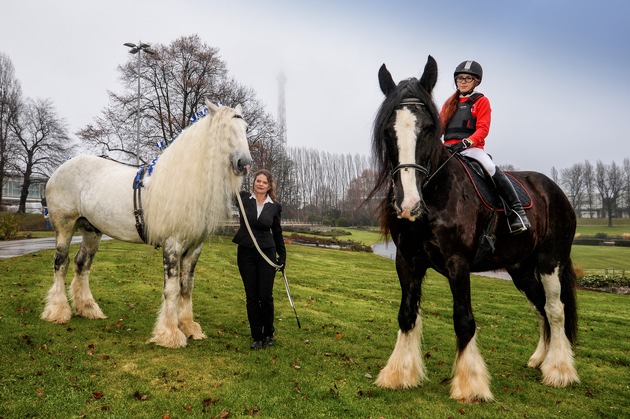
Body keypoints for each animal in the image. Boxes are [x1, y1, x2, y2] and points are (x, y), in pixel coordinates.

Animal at [40, 101, 254, 348]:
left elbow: (186, 288)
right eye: (224, 129)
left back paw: (87, 309)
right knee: (61, 264)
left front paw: (189, 327)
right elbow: (172, 289)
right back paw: (58, 311)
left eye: (245, 128)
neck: (184, 181)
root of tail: (57, 172)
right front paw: (170, 334)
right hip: (64, 228)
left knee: (81, 264)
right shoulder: (172, 244)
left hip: (91, 231)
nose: (244, 164)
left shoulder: (193, 248)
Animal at [370, 56, 584, 404]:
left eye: (429, 128)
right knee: (540, 307)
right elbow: (407, 314)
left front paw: (470, 384)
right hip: (520, 269)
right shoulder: (407, 261)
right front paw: (399, 374)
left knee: (555, 310)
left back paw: (559, 370)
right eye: (389, 130)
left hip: (549, 262)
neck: (436, 194)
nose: (408, 204)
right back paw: (541, 359)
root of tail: (554, 190)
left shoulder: (458, 264)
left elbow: (464, 320)